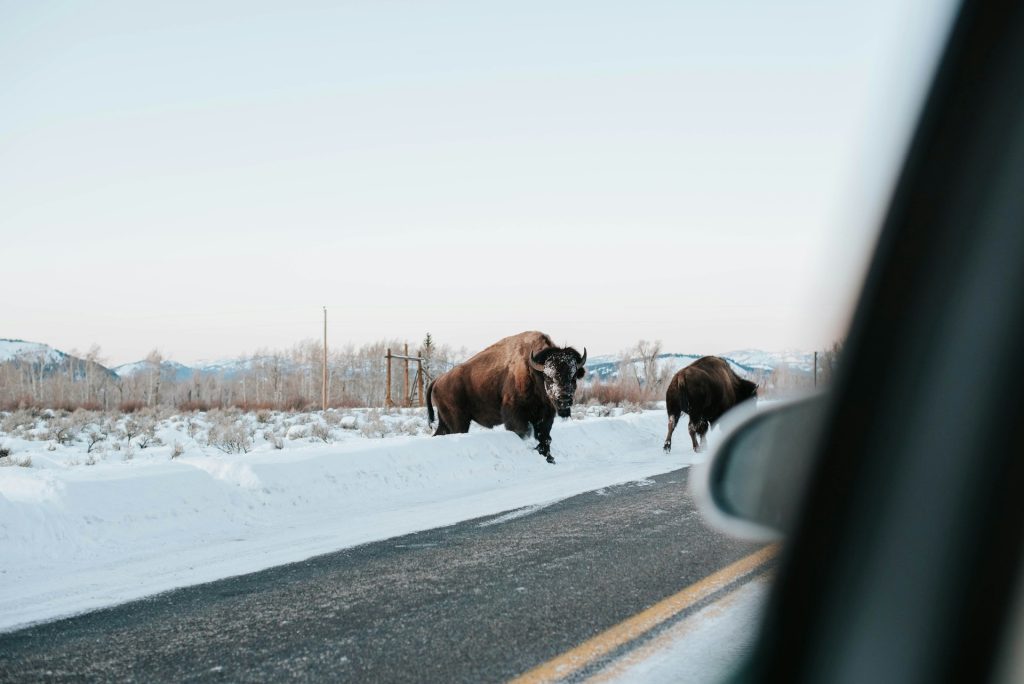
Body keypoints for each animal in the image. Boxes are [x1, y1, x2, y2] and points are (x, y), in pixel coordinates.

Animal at [426, 331, 586, 463]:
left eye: (573, 376)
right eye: (548, 377)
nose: (564, 398)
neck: (533, 371)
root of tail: (438, 379)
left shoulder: (546, 415)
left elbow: (545, 437)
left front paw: (550, 459)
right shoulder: (515, 414)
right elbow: (524, 431)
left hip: (445, 421)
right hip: (459, 421)